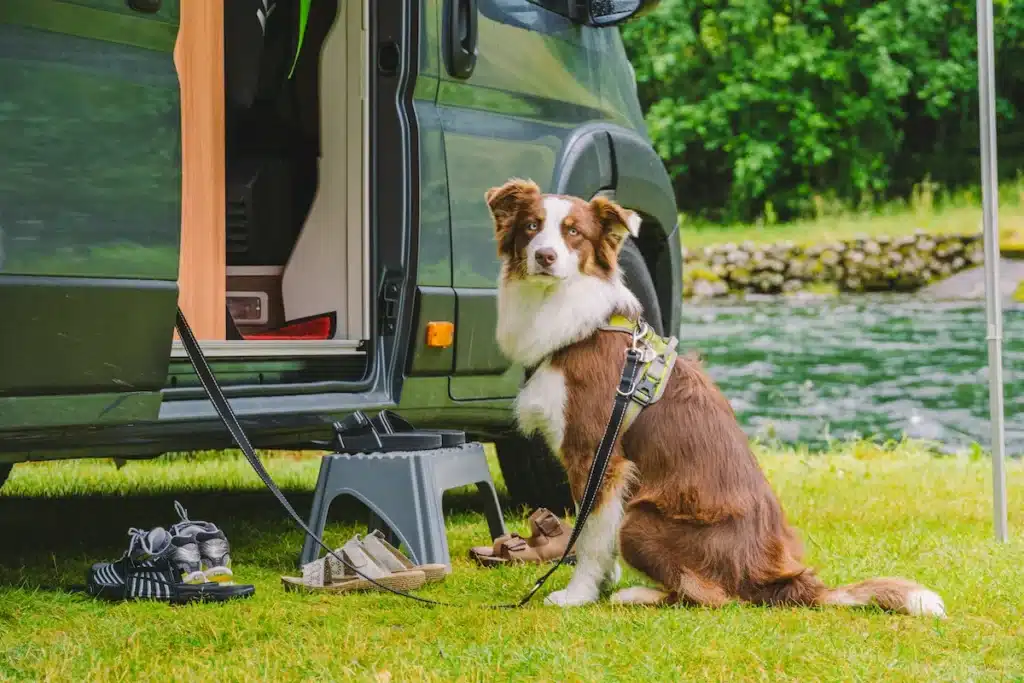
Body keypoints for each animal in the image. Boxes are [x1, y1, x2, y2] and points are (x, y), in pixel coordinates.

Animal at [483, 179, 946, 618]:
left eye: (574, 232)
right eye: (531, 227)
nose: (544, 256)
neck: (572, 318)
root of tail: (779, 581)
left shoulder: (597, 453)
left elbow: (590, 536)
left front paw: (578, 594)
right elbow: (592, 530)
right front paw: (602, 582)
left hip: (641, 517)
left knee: (712, 596)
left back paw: (638, 594)